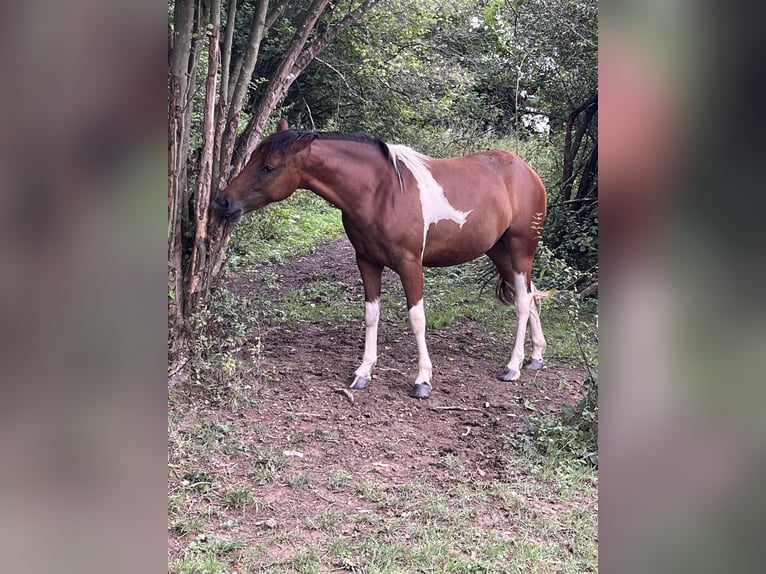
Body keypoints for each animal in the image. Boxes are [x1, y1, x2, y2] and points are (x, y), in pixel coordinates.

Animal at [216, 122, 548, 400]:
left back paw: (513, 366)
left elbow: (416, 318)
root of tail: (526, 170)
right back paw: (536, 357)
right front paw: (364, 372)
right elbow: (371, 314)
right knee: (529, 295)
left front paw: (423, 380)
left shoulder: (409, 264)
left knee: (522, 301)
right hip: (498, 251)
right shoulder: (366, 261)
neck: (381, 192)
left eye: (269, 167)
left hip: (521, 248)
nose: (223, 201)